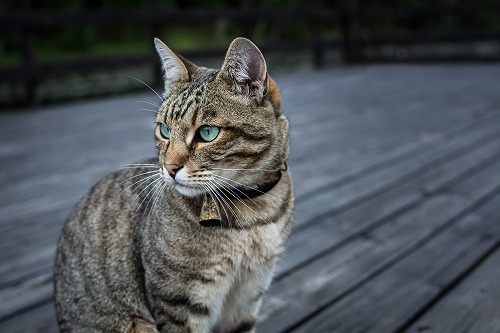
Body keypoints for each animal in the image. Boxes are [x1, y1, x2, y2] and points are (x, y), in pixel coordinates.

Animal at [53, 37, 292, 332]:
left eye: (207, 133)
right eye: (164, 130)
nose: (169, 168)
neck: (253, 211)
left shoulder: (249, 294)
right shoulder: (177, 301)